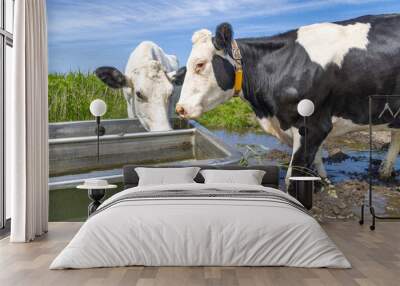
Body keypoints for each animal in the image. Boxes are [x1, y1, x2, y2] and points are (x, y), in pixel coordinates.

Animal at [177, 15, 400, 185]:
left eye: (200, 64)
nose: (180, 108)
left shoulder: (312, 125)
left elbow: (295, 174)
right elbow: (316, 159)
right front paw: (323, 181)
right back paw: (384, 172)